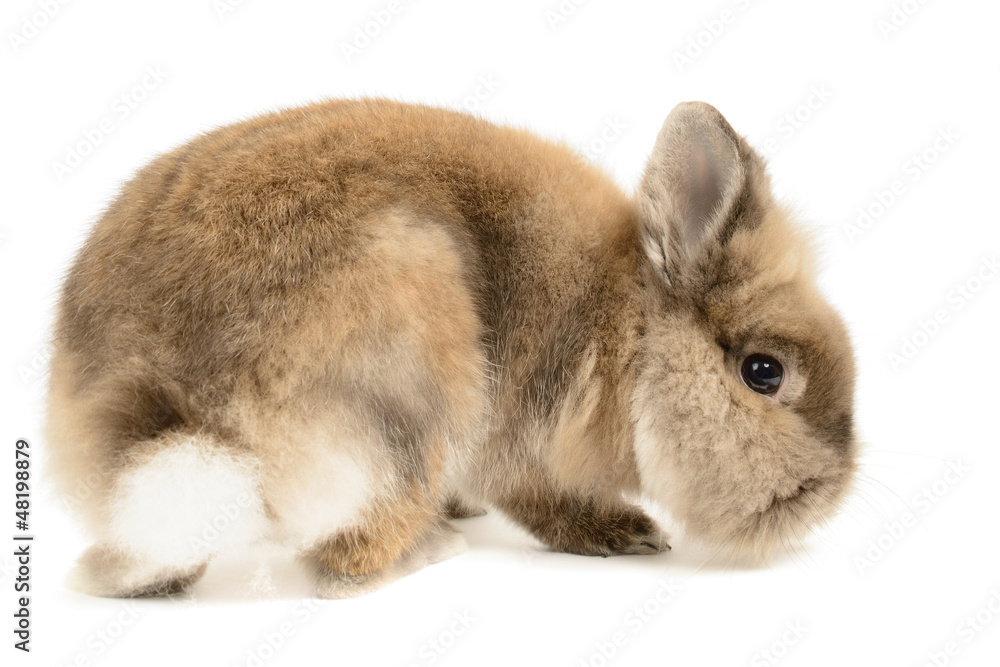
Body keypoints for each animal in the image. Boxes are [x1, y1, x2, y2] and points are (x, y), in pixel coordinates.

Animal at [46, 98, 857, 599]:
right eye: (763, 372)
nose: (831, 491)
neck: (625, 331)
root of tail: (173, 398)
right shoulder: (525, 431)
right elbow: (543, 500)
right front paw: (627, 534)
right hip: (413, 397)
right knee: (343, 564)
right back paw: (429, 551)